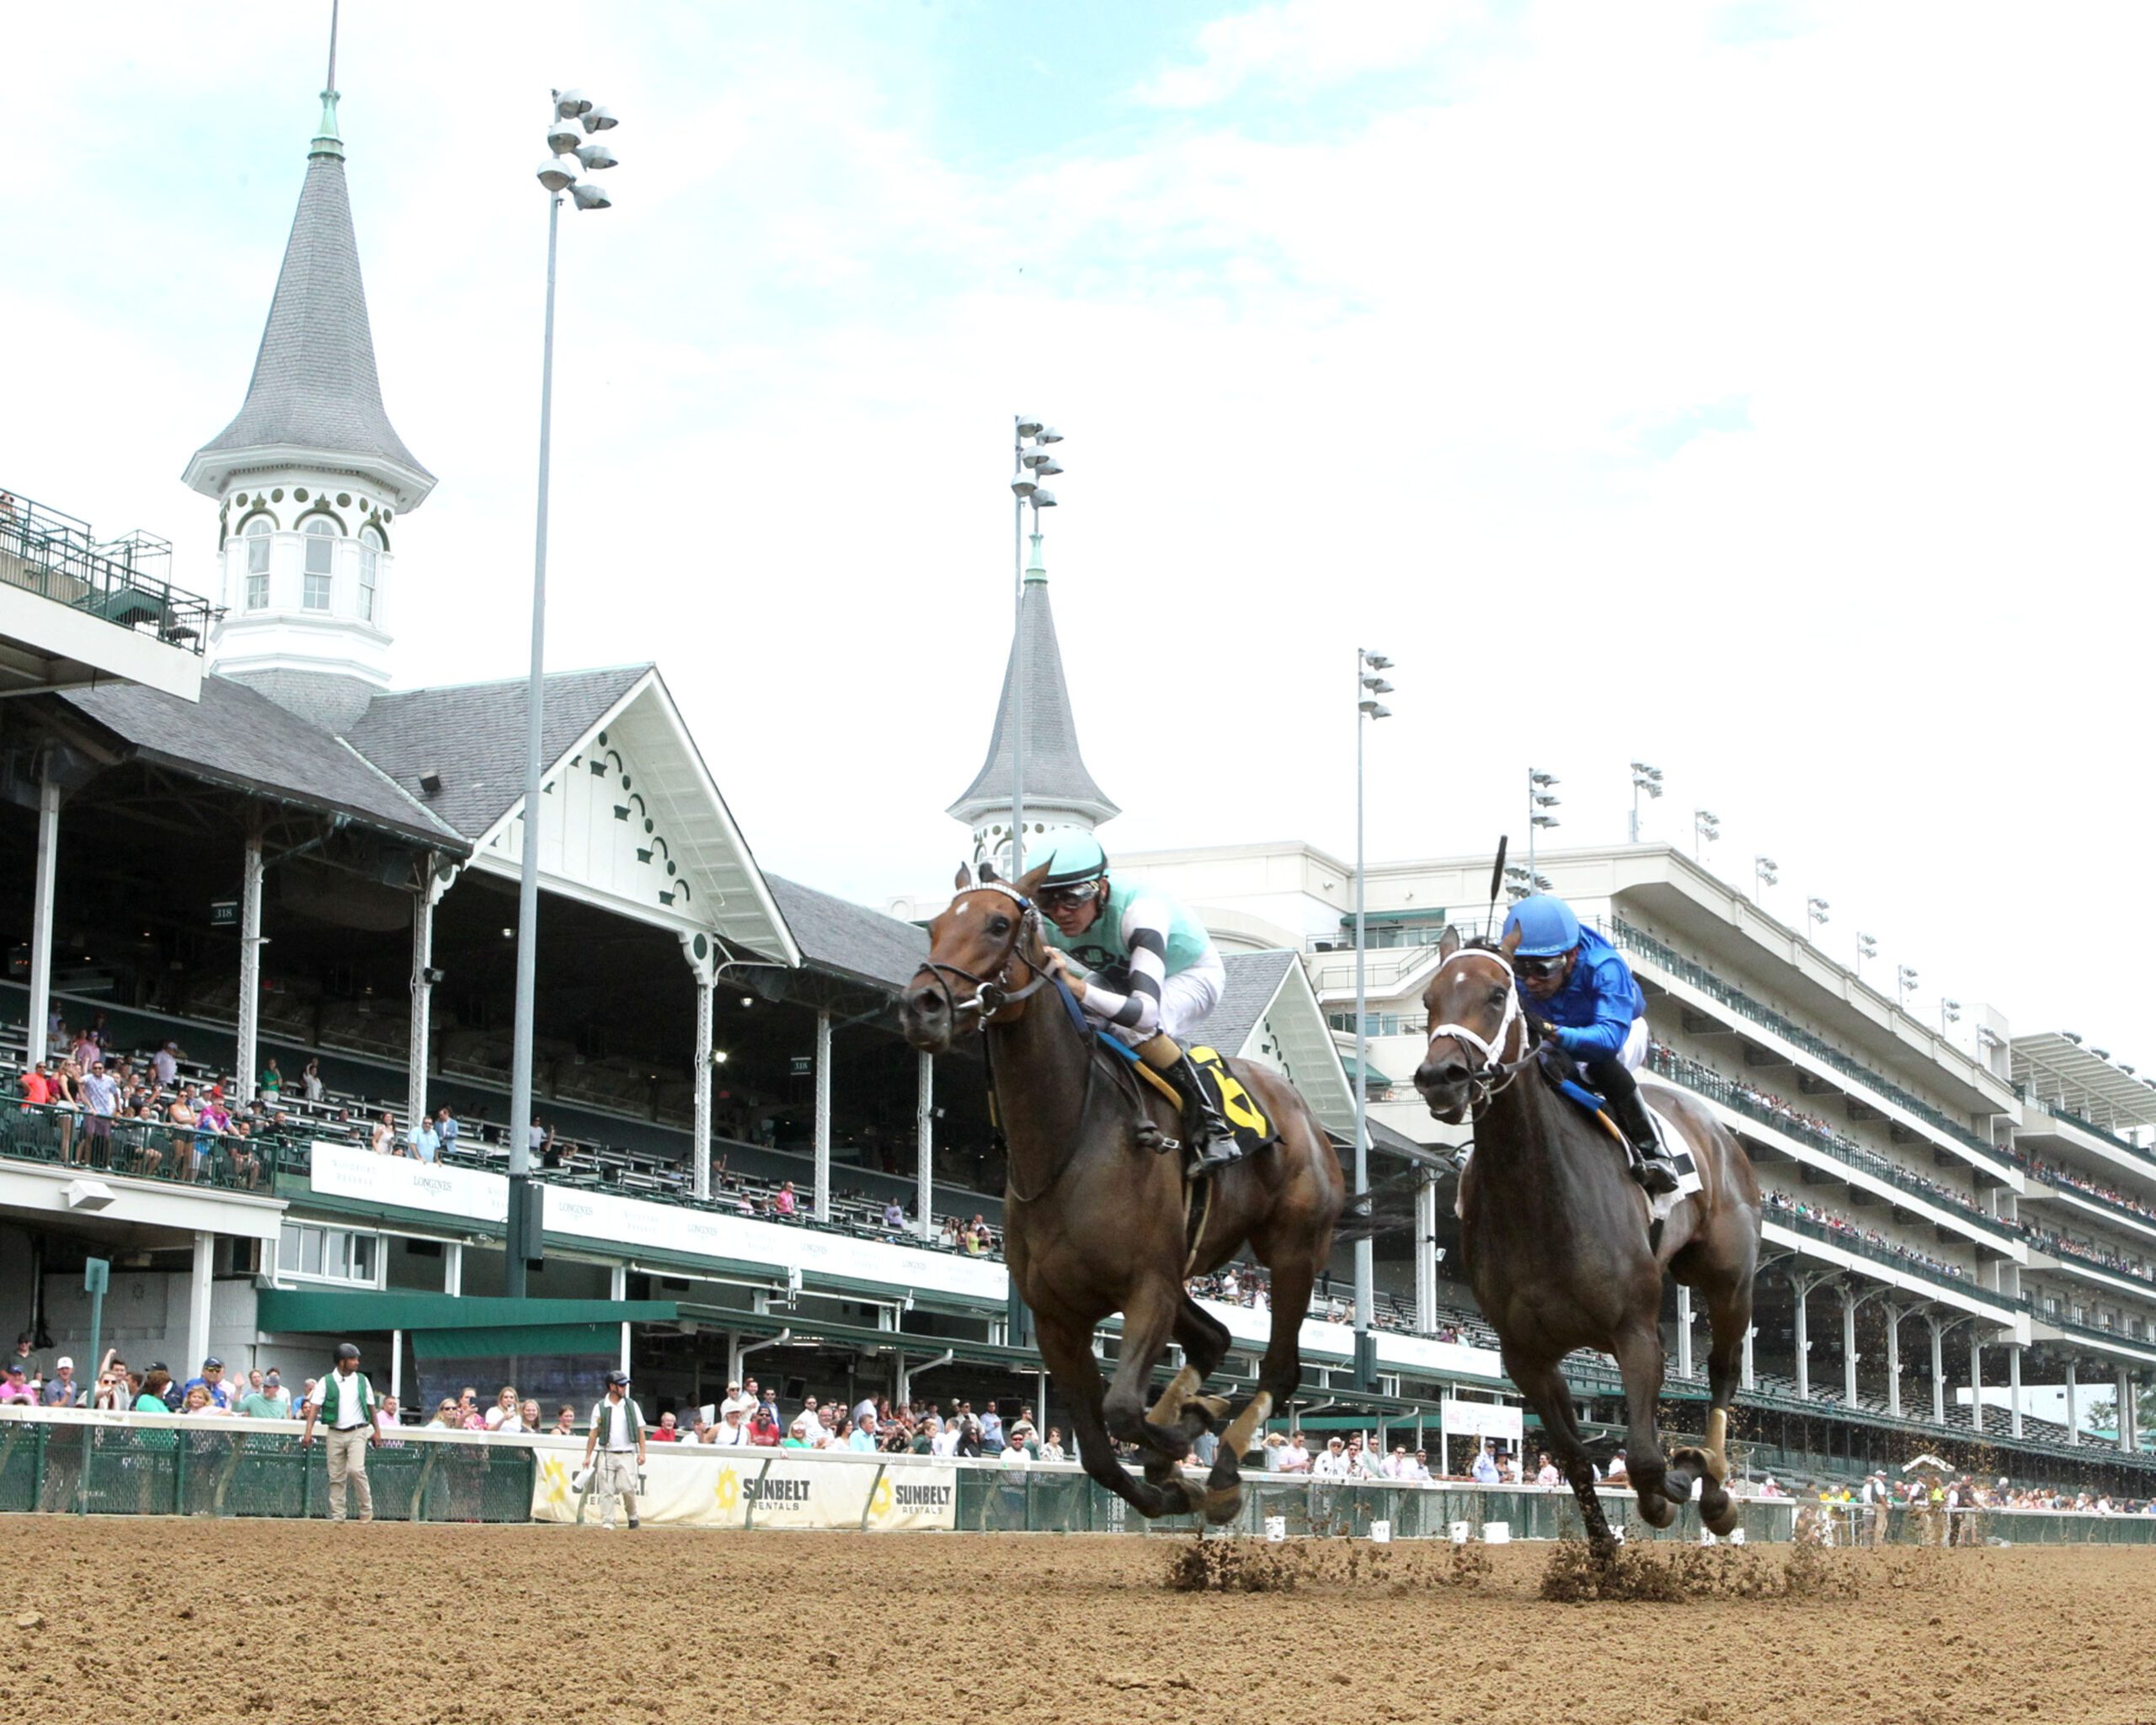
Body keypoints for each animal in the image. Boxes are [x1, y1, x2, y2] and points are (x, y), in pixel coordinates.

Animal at [899, 862, 1347, 1523]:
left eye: (999, 924)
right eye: (932, 926)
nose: (920, 1006)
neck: (1069, 1142)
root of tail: (1309, 1118)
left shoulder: (1148, 1288)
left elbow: (1121, 1411)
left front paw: (1192, 1432)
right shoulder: (1058, 1316)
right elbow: (1098, 1452)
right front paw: (1170, 1474)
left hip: (1293, 1252)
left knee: (1279, 1368)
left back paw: (1224, 1470)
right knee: (1215, 1339)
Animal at [1413, 925, 1761, 1549]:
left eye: (1497, 996)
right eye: (1429, 1000)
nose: (1440, 1078)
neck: (1538, 1198)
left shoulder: (1637, 1333)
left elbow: (1645, 1458)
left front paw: (1678, 1481)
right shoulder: (1527, 1356)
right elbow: (1577, 1460)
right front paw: (1605, 1553)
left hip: (1728, 1280)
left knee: (1724, 1368)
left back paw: (1716, 1486)